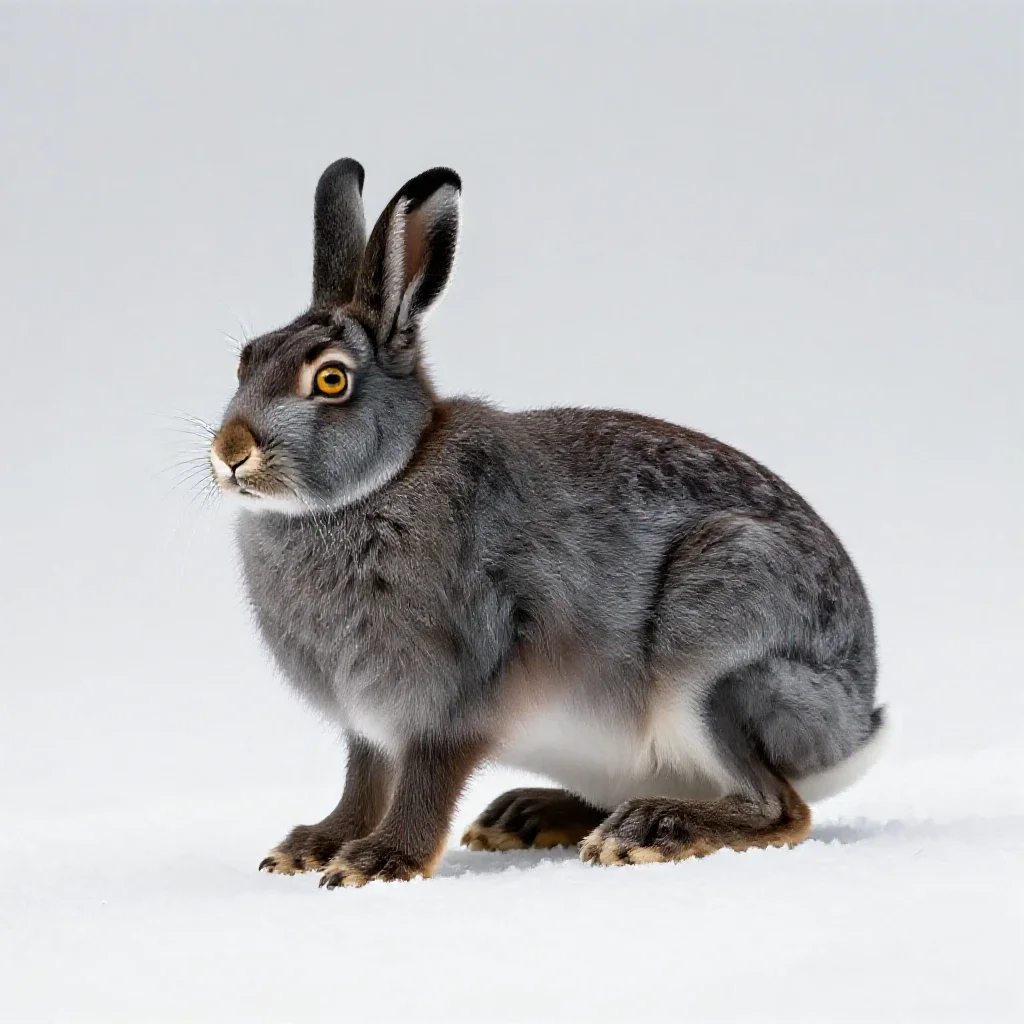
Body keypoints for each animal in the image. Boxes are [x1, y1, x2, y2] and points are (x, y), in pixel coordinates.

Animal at [208, 157, 886, 887]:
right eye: (247, 360)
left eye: (331, 381)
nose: (230, 452)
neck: (386, 480)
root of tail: (854, 726)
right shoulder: (368, 726)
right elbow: (363, 783)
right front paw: (311, 847)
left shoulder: (454, 694)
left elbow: (425, 781)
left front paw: (380, 862)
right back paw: (528, 817)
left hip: (720, 653)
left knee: (779, 808)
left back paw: (648, 831)